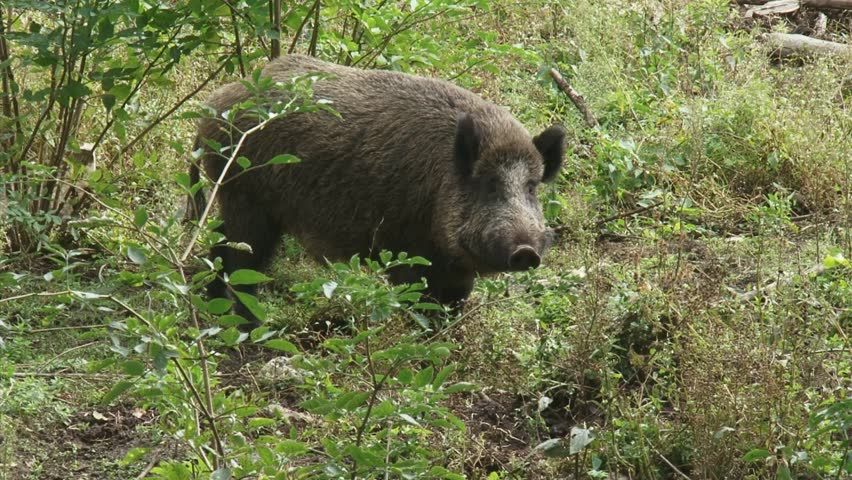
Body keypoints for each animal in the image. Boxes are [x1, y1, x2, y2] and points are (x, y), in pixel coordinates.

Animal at [187, 55, 564, 325]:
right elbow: (420, 304)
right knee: (242, 264)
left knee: (220, 250)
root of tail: (211, 109)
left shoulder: (457, 270)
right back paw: (250, 329)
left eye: (532, 187)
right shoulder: (407, 250)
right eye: (489, 184)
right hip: (246, 201)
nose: (526, 251)